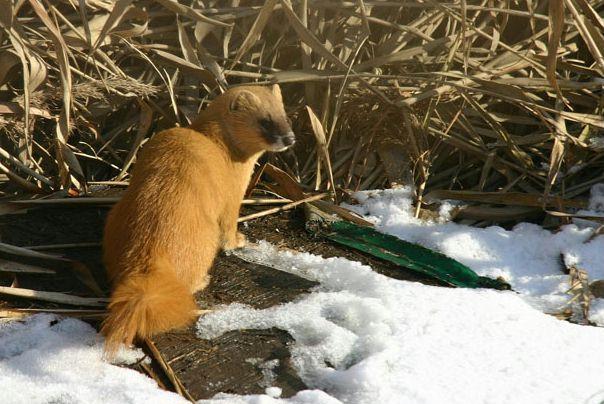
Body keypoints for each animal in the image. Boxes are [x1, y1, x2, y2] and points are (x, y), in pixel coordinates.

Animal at [101, 85, 294, 354]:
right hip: (205, 238)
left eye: (285, 116)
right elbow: (229, 225)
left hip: (115, 219)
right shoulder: (233, 194)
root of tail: (150, 254)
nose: (290, 138)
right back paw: (203, 279)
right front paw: (239, 240)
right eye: (265, 121)